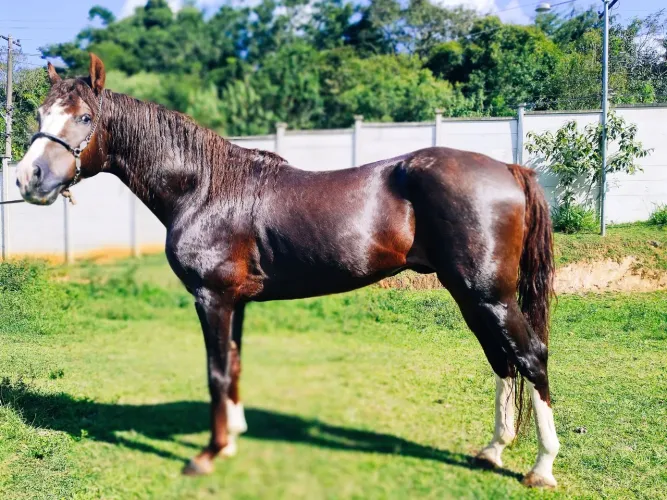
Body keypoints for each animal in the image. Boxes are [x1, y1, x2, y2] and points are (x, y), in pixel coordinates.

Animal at [16, 54, 559, 488]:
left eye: (85, 117)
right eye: (40, 113)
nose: (28, 178)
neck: (205, 187)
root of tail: (509, 169)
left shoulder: (212, 298)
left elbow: (215, 371)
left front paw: (209, 453)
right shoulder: (235, 301)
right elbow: (234, 365)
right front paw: (234, 438)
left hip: (488, 295)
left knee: (531, 357)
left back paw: (541, 467)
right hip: (471, 295)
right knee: (502, 361)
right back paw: (493, 450)